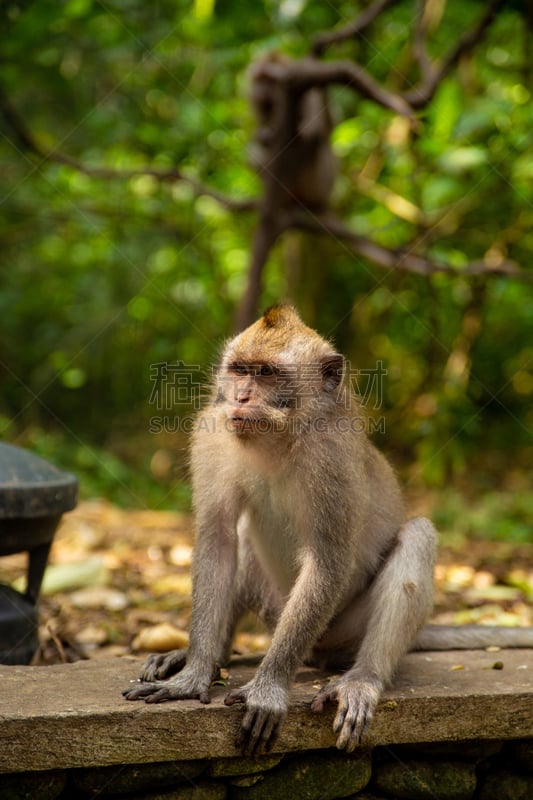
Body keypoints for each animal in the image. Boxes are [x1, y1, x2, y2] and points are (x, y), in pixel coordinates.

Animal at [124, 304, 532, 752]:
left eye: (266, 373)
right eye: (241, 370)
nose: (241, 397)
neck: (279, 437)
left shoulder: (330, 460)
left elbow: (328, 561)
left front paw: (268, 688)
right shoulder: (214, 434)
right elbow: (218, 540)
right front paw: (194, 671)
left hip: (341, 632)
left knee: (418, 535)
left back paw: (362, 679)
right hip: (274, 606)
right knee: (243, 537)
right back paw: (214, 656)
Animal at [247, 51, 334, 211]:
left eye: (271, 80)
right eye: (260, 79)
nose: (262, 89)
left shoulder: (310, 93)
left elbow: (314, 130)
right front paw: (265, 134)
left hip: (319, 186)